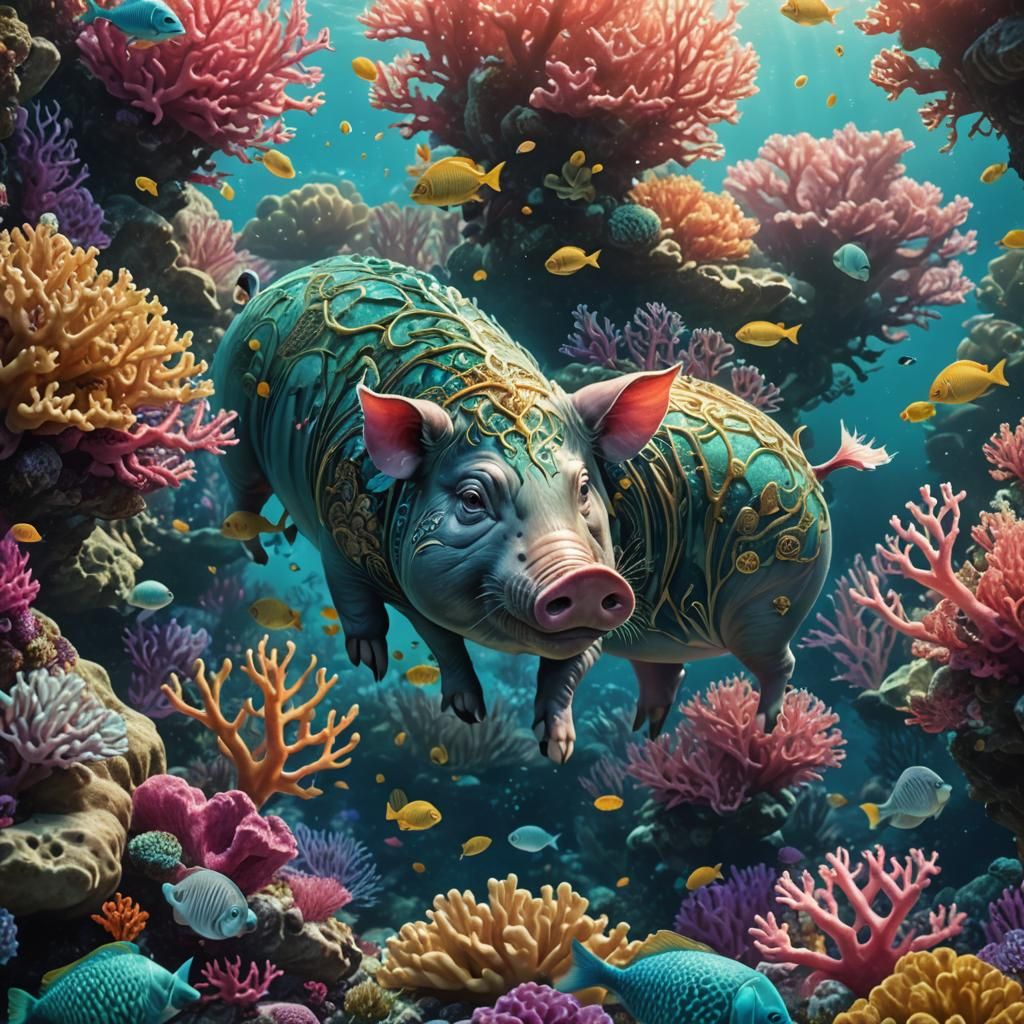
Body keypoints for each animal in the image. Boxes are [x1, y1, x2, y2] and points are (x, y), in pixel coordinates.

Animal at [213, 255, 678, 762]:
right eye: (473, 499)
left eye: (584, 488)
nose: (587, 578)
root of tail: (261, 288)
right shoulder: (341, 526)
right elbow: (406, 624)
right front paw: (434, 696)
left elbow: (570, 665)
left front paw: (558, 748)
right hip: (236, 426)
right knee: (246, 492)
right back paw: (258, 554)